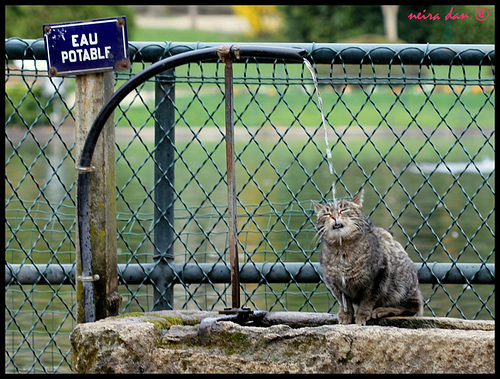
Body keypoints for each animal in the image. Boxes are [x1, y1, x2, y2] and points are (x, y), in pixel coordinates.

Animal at [312, 190, 422, 326]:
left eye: (344, 209)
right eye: (326, 213)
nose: (334, 216)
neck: (343, 250)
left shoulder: (377, 278)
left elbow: (367, 301)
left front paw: (362, 316)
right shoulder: (333, 283)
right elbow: (344, 302)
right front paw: (345, 315)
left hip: (401, 286)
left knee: (413, 307)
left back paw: (382, 310)